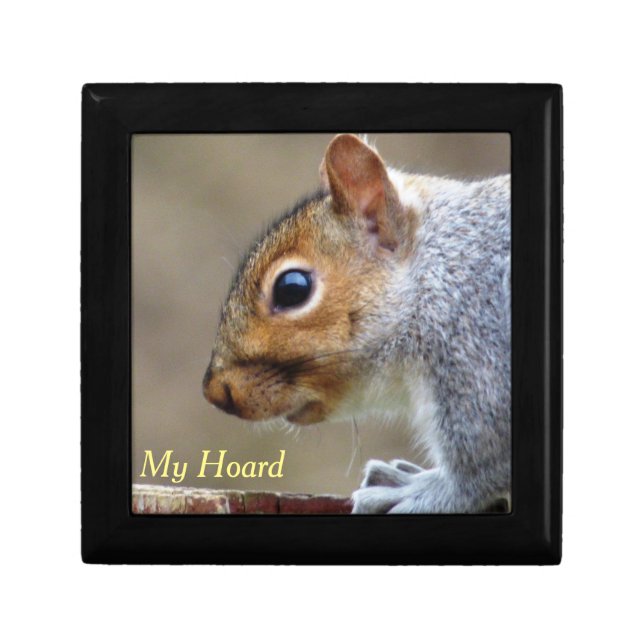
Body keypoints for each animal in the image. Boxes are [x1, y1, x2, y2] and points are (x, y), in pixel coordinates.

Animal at [203, 134, 511, 513]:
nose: (216, 391)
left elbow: (478, 470)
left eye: (292, 289)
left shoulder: (477, 356)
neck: (436, 276)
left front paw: (414, 490)